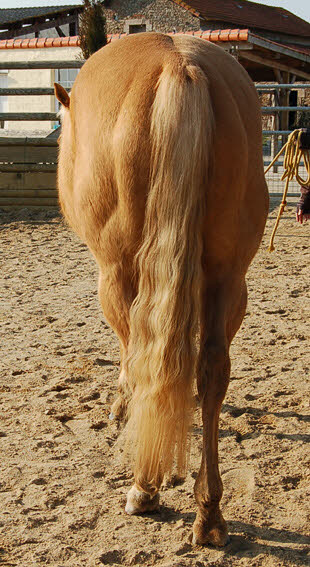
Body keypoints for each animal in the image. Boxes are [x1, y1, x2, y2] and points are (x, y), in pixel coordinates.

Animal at [54, 33, 268, 548]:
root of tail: (179, 65)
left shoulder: (113, 276)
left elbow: (131, 356)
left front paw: (120, 407)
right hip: (229, 279)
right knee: (211, 368)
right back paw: (209, 513)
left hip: (121, 273)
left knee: (148, 358)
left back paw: (144, 489)